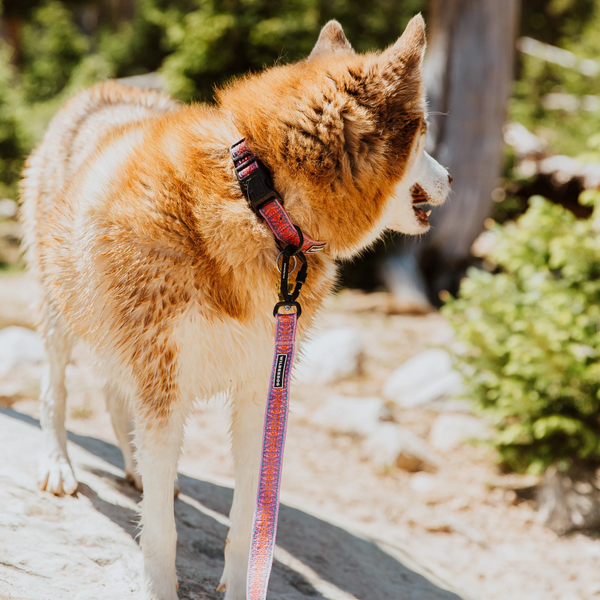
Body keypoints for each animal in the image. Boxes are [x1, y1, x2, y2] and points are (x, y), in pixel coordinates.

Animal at [18, 14, 450, 600]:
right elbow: (162, 531)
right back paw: (59, 464)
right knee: (54, 390)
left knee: (115, 400)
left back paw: (136, 469)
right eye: (425, 136)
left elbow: (250, 513)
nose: (451, 179)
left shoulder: (261, 387)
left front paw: (243, 579)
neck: (260, 200)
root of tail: (100, 89)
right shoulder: (163, 383)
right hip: (63, 316)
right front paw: (159, 585)